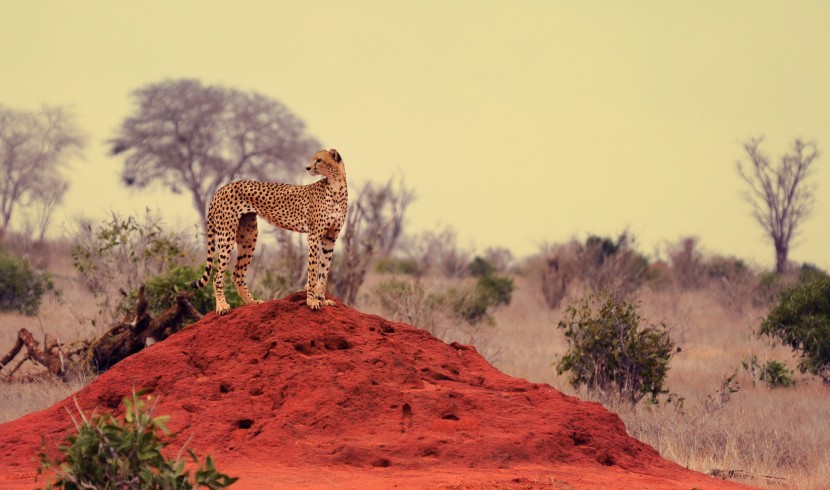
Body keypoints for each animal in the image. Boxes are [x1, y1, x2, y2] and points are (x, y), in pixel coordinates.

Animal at [191, 148, 348, 314]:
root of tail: (221, 189)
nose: (307, 167)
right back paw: (222, 306)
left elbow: (324, 271)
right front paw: (312, 300)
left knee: (237, 274)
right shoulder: (314, 236)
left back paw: (252, 303)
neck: (336, 186)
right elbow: (313, 271)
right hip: (227, 235)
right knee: (217, 276)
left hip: (249, 236)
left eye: (319, 160)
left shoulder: (330, 238)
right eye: (313, 159)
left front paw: (322, 300)